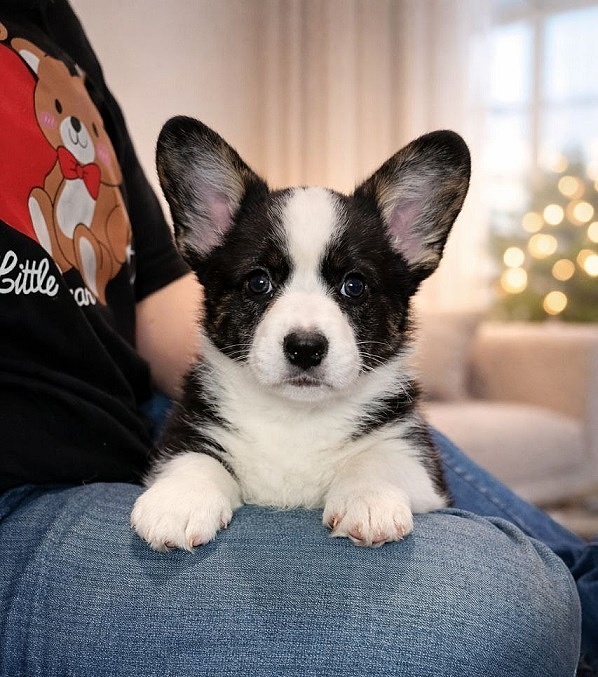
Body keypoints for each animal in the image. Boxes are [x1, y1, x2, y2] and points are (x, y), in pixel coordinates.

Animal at [131, 117, 470, 551]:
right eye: (258, 282)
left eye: (354, 286)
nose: (305, 348)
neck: (297, 418)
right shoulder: (184, 434)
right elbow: (197, 459)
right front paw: (179, 501)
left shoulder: (420, 464)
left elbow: (378, 458)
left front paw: (368, 499)